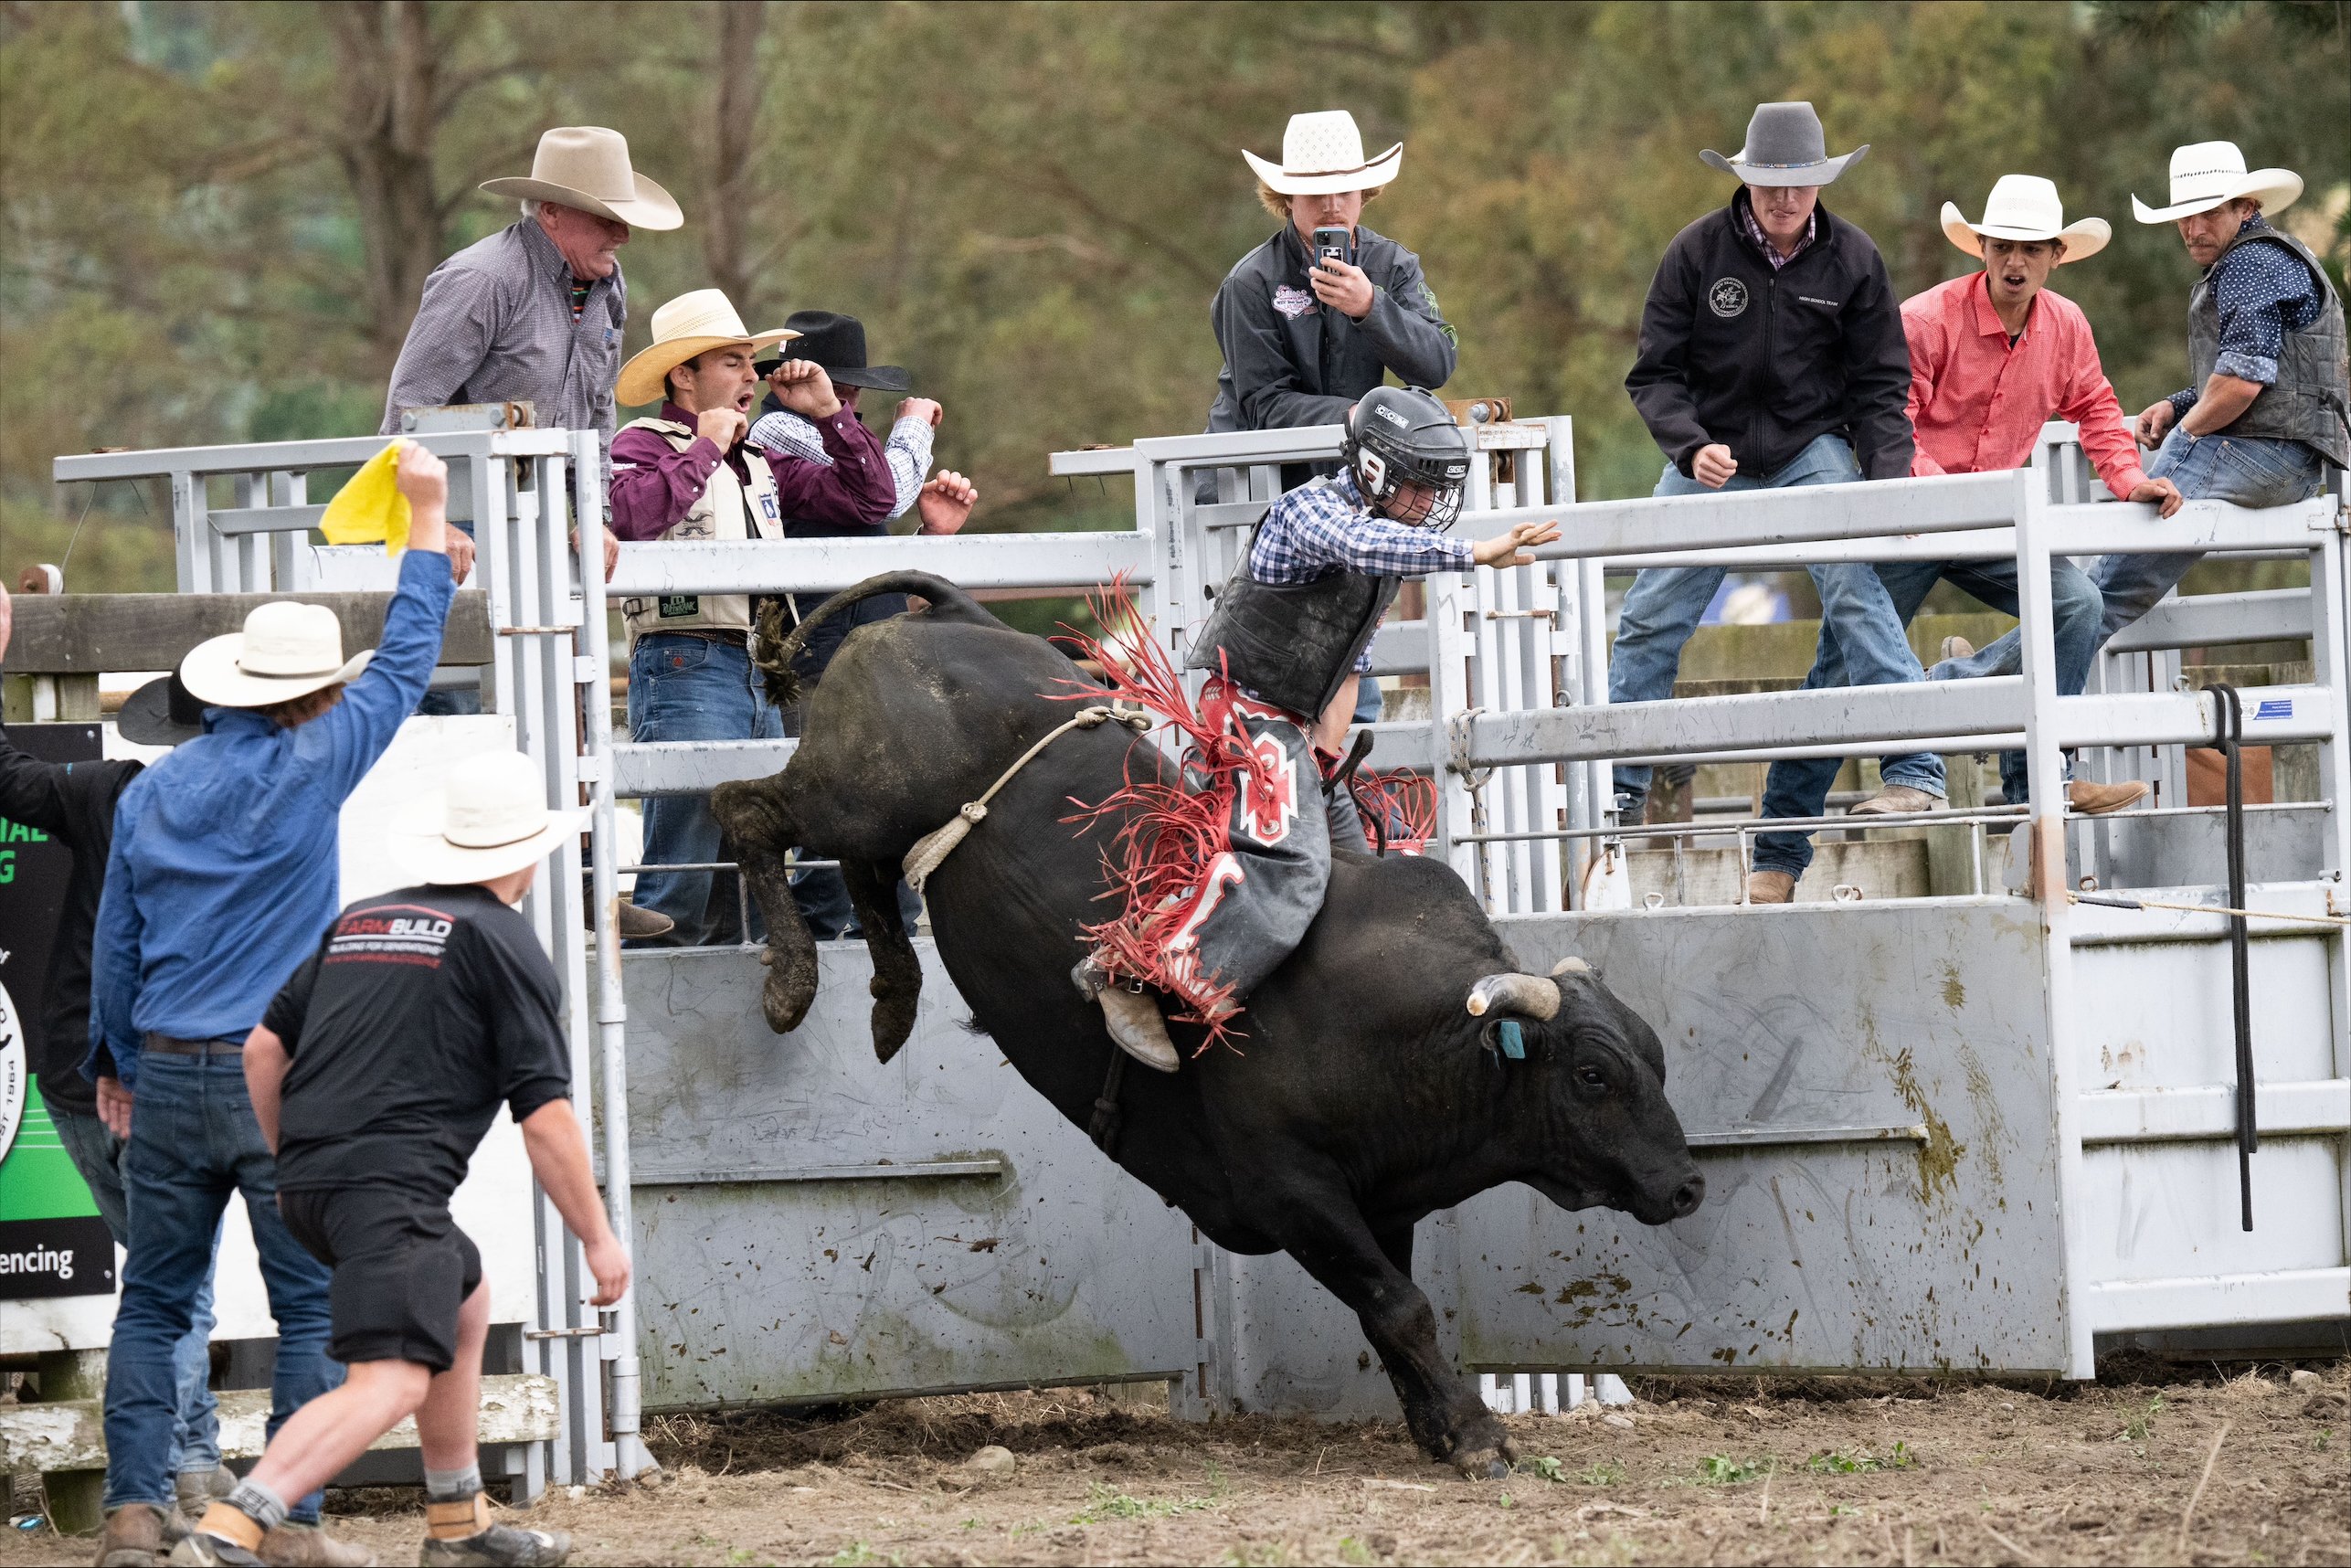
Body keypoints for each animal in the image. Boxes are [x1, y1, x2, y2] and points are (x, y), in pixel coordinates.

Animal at [704, 571, 1701, 1476]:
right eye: (1592, 1075)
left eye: (1656, 1061)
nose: (1688, 1187)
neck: (1410, 1035)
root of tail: (948, 614)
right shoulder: (1293, 1192)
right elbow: (1399, 1306)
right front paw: (1476, 1435)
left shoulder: (1381, 1200)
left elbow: (1391, 1307)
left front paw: (1436, 1427)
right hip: (850, 793)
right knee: (746, 809)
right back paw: (792, 982)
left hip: (877, 823)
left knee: (866, 876)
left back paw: (891, 999)